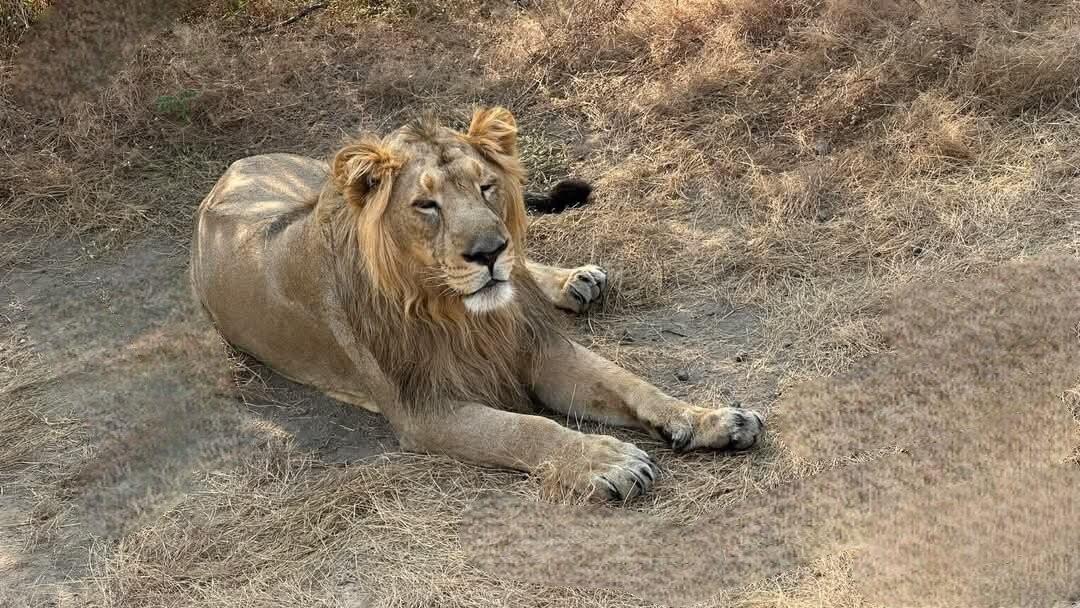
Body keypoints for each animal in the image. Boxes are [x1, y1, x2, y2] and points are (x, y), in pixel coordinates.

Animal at [192, 107, 768, 498]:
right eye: (426, 204)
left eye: (487, 187)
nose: (490, 251)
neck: (456, 311)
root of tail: (237, 165)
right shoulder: (425, 409)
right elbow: (526, 428)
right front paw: (605, 461)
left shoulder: (535, 347)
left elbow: (633, 385)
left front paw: (712, 419)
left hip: (320, 179)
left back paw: (575, 281)